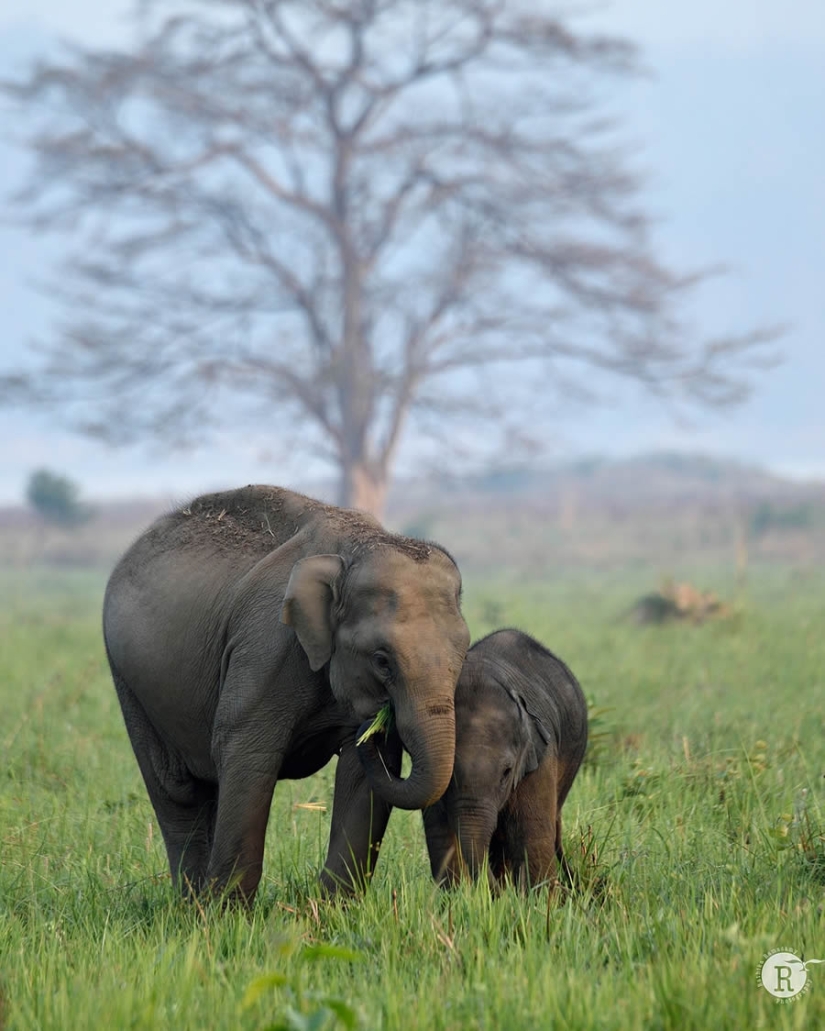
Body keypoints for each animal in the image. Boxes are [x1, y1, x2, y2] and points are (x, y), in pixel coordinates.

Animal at [101, 486, 470, 899]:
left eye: (462, 656)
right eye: (382, 660)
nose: (374, 722)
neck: (355, 548)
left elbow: (362, 773)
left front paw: (330, 906)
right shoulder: (267, 646)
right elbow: (246, 753)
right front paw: (227, 910)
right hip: (128, 678)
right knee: (177, 790)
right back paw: (193, 902)